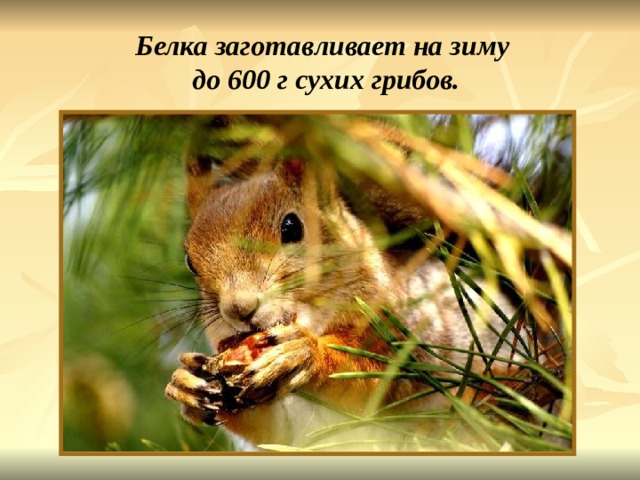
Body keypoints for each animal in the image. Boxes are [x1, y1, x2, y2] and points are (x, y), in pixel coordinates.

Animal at [164, 155, 526, 451]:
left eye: (292, 227)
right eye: (189, 261)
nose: (239, 309)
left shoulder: (409, 342)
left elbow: (380, 381)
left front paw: (305, 355)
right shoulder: (288, 425)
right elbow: (271, 429)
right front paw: (186, 385)